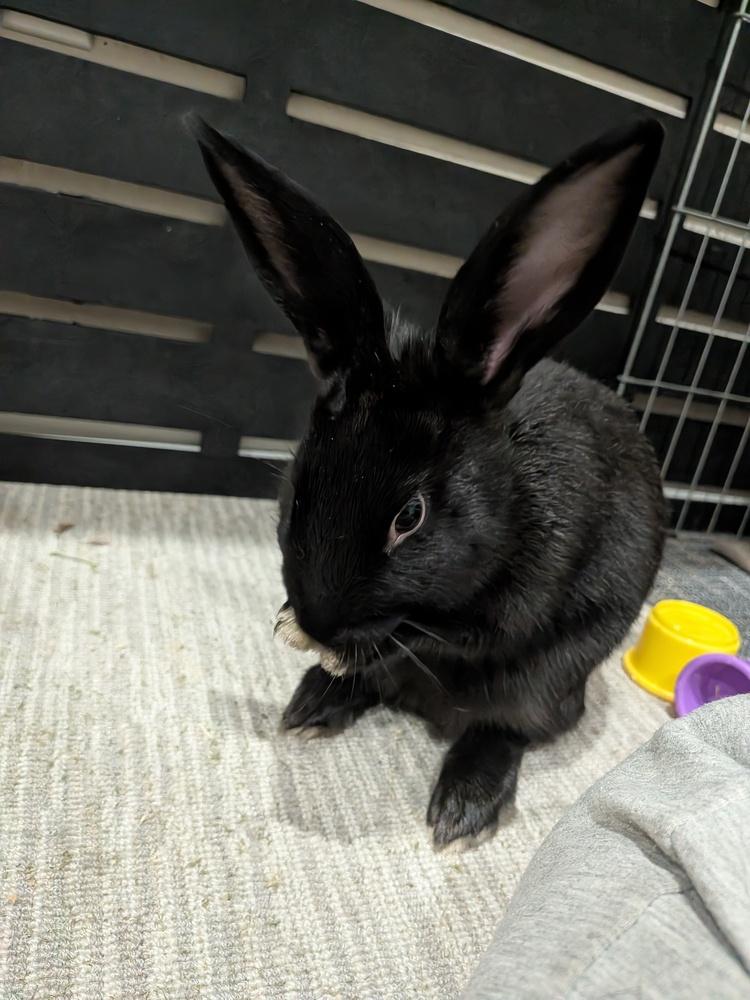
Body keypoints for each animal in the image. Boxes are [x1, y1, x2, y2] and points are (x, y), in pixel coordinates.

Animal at [194, 116, 666, 848]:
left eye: (410, 516)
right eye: (297, 490)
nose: (318, 622)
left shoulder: (502, 610)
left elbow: (435, 635)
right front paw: (299, 635)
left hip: (548, 683)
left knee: (509, 727)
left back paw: (462, 805)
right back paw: (313, 703)